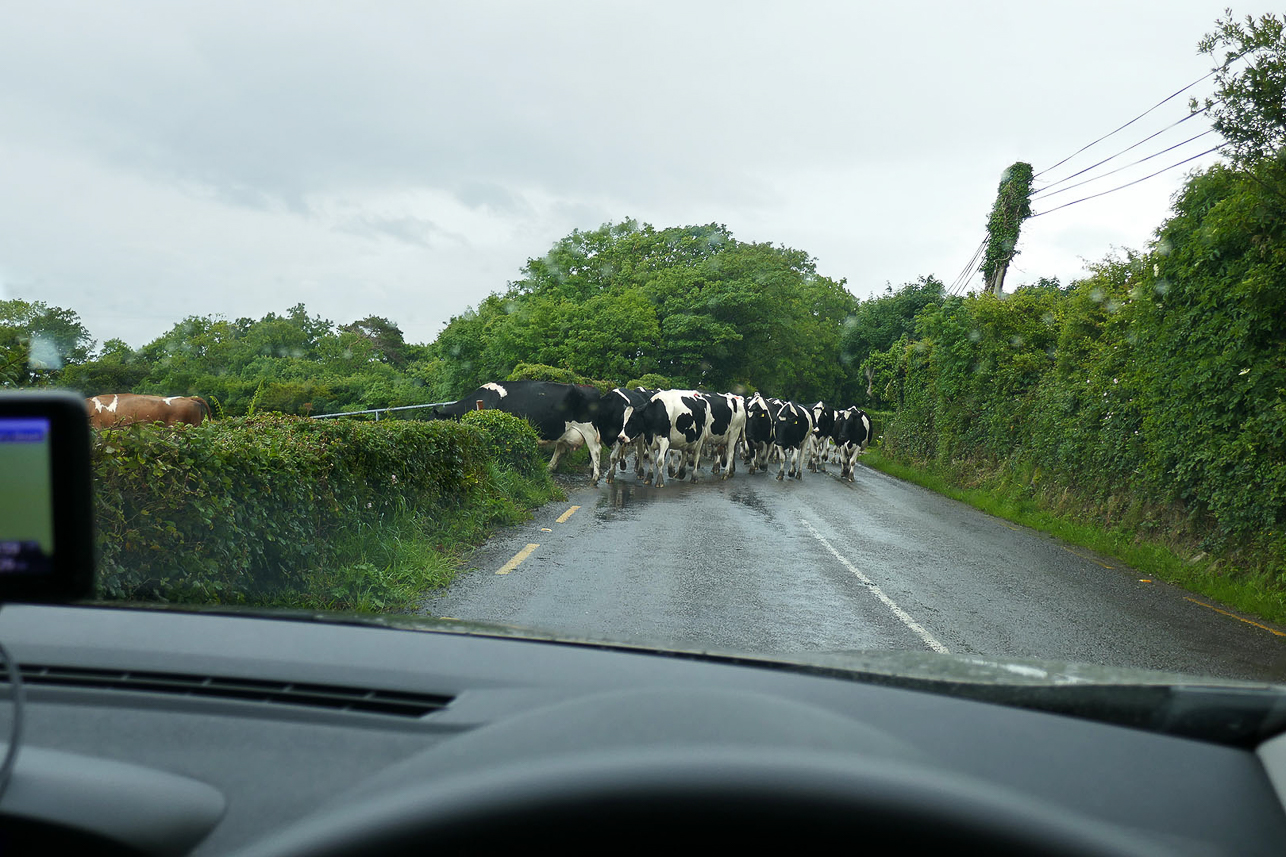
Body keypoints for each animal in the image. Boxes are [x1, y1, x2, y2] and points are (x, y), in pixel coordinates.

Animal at [434, 378, 604, 481]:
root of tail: (591, 388)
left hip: (588, 428)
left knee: (595, 449)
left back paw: (595, 477)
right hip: (566, 430)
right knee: (561, 449)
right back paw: (549, 468)